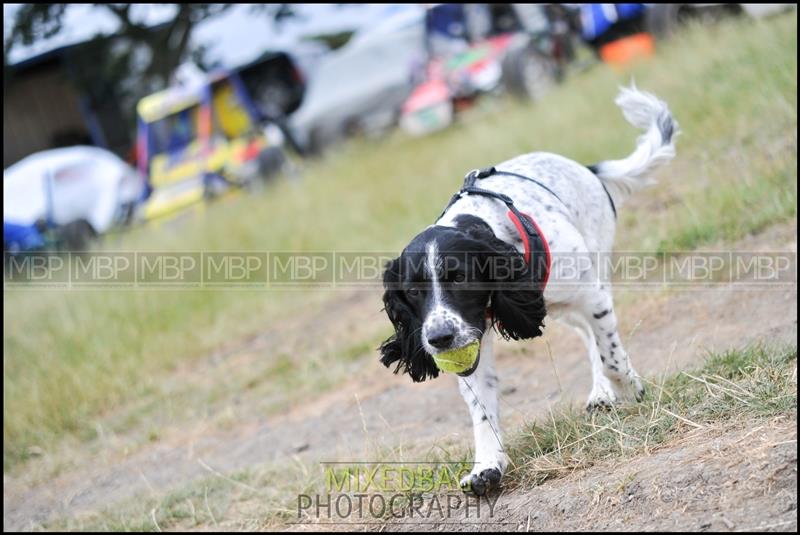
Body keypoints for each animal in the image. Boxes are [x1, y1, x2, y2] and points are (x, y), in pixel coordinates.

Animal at [378, 86, 680, 496]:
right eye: (412, 291)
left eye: (459, 278)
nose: (439, 338)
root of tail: (586, 169)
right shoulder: (472, 340)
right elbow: (482, 408)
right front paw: (487, 466)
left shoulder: (592, 297)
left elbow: (612, 357)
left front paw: (629, 388)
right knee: (586, 335)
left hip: (590, 273)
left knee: (597, 340)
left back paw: (606, 390)